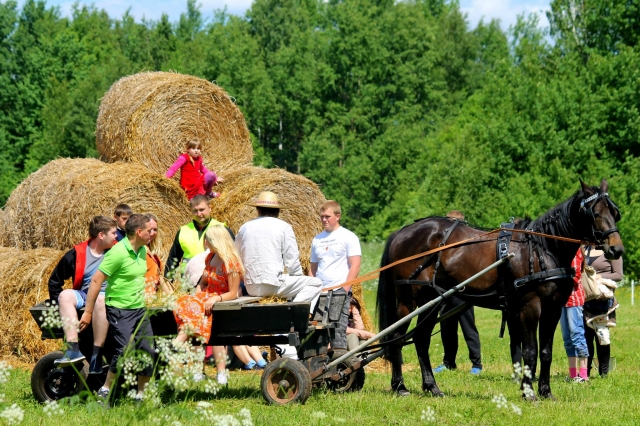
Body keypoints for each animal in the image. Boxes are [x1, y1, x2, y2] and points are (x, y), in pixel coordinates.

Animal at [378, 179, 624, 400]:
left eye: (615, 212)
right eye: (595, 213)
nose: (617, 249)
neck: (543, 248)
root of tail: (403, 231)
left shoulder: (553, 309)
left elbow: (546, 352)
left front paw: (546, 392)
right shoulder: (530, 307)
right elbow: (530, 351)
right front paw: (529, 393)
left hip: (431, 301)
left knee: (421, 339)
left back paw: (432, 387)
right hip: (408, 300)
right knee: (397, 338)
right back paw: (400, 387)